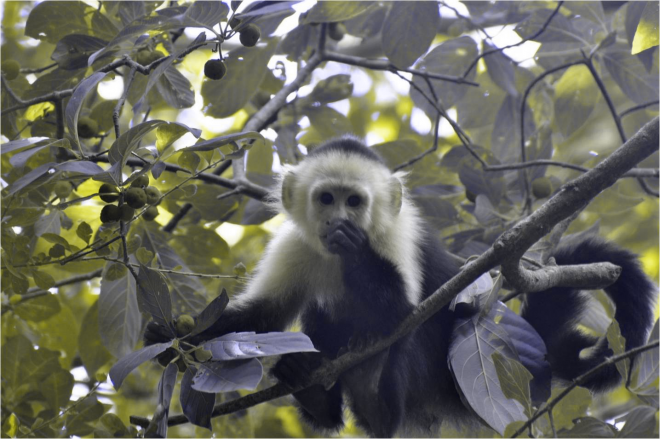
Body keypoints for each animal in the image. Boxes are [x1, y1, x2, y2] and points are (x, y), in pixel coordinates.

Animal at [144, 137, 656, 436]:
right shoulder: (295, 243)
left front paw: (355, 249)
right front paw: (172, 337)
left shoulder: (398, 230)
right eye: (326, 198)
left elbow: (404, 310)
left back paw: (377, 398)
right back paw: (315, 393)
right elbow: (262, 316)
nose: (339, 222)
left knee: (418, 330)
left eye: (354, 201)